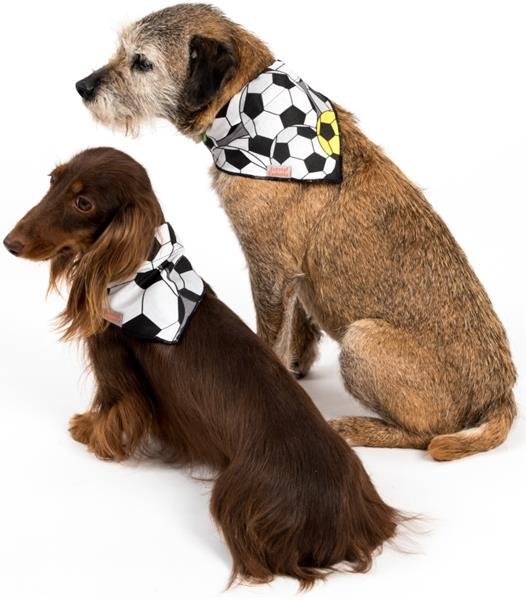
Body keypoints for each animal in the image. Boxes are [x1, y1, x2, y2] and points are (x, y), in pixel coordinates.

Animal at [3, 147, 401, 588]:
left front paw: (87, 432)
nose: (10, 243)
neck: (147, 275)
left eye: (84, 203)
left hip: (231, 496)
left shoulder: (113, 366)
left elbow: (112, 409)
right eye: (53, 180)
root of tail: (347, 523)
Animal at [74, 4, 517, 461]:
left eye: (141, 62)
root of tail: (499, 396)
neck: (245, 106)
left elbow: (270, 332)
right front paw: (296, 367)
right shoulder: (297, 276)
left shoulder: (268, 268)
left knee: (423, 434)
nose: (82, 87)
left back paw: (359, 428)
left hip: (362, 340)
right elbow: (300, 320)